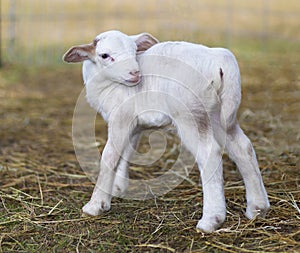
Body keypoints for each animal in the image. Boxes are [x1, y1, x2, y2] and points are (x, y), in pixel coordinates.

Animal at [62, 30, 270, 232]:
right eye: (105, 55)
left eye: (134, 51)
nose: (135, 73)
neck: (107, 85)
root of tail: (220, 60)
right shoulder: (134, 123)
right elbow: (126, 152)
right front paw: (119, 188)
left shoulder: (121, 117)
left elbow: (109, 157)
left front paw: (96, 205)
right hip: (219, 113)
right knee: (243, 148)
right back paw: (257, 207)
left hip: (190, 113)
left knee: (209, 153)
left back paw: (211, 220)